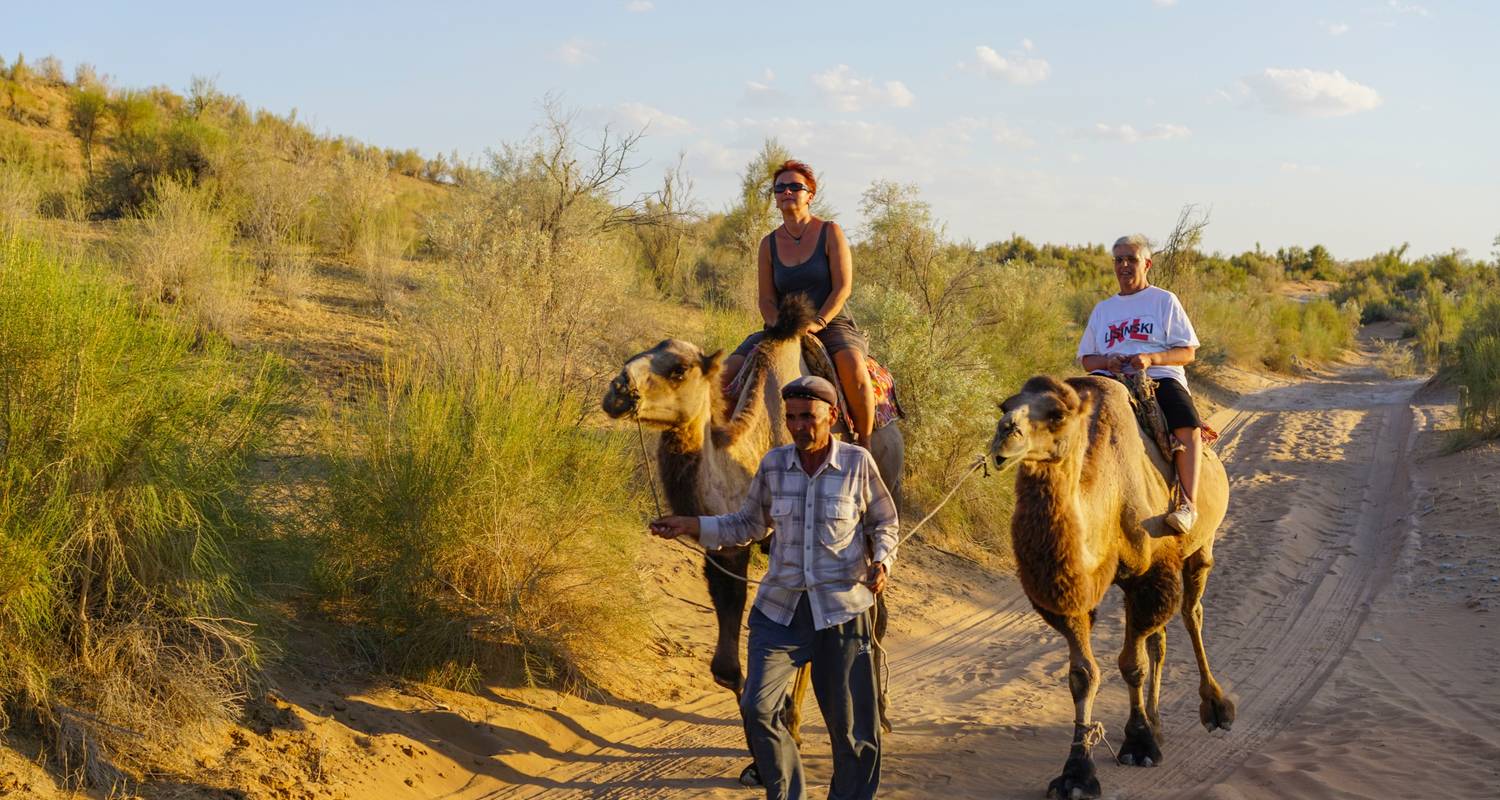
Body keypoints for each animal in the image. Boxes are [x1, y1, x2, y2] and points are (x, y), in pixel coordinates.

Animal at [984, 373, 1230, 798]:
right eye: (1005, 405)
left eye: (1056, 413)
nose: (1005, 435)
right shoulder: (1073, 593)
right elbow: (1083, 675)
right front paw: (1077, 772)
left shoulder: (1150, 572)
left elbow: (1132, 664)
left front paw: (1139, 743)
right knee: (1160, 638)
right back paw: (1158, 722)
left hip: (1201, 542)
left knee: (1191, 613)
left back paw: (1214, 708)